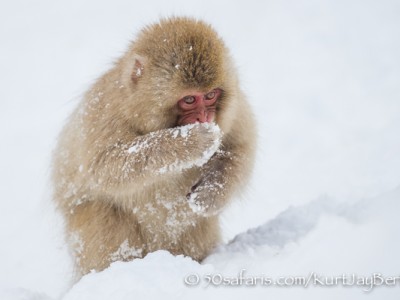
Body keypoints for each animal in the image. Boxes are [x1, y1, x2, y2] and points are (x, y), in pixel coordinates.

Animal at [52, 17, 256, 276]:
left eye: (210, 95)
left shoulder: (235, 109)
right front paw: (190, 141)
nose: (204, 118)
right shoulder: (103, 113)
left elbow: (240, 148)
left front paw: (210, 194)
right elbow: (107, 167)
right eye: (189, 99)